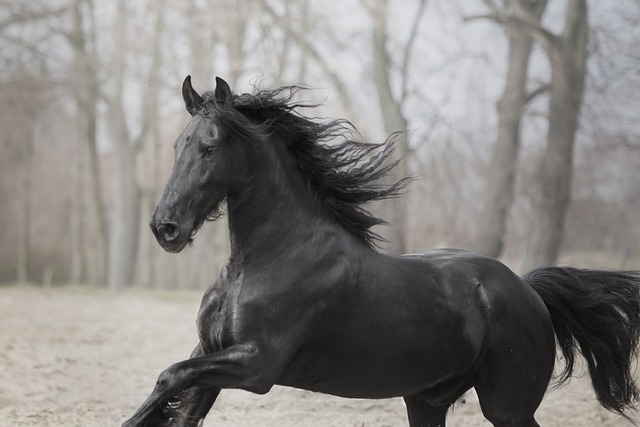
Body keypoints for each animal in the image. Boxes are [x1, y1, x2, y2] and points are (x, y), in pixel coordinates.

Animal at [124, 77, 640, 427]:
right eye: (178, 145)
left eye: (209, 148)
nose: (165, 227)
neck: (265, 259)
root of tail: (527, 289)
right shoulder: (212, 352)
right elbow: (175, 395)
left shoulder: (256, 364)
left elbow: (169, 377)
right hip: (426, 400)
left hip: (507, 405)